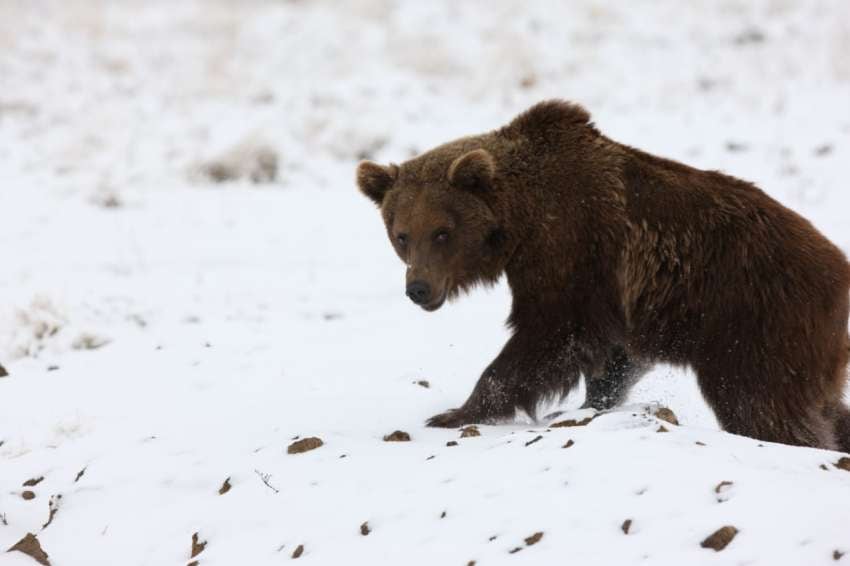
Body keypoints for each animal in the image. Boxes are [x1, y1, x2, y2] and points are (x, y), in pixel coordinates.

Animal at [352, 98, 848, 452]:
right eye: (401, 235)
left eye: (442, 231)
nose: (419, 288)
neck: (519, 223)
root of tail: (838, 269)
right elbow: (612, 358)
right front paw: (593, 404)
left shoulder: (573, 249)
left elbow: (551, 334)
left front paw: (456, 412)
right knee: (819, 403)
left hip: (756, 318)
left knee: (762, 401)